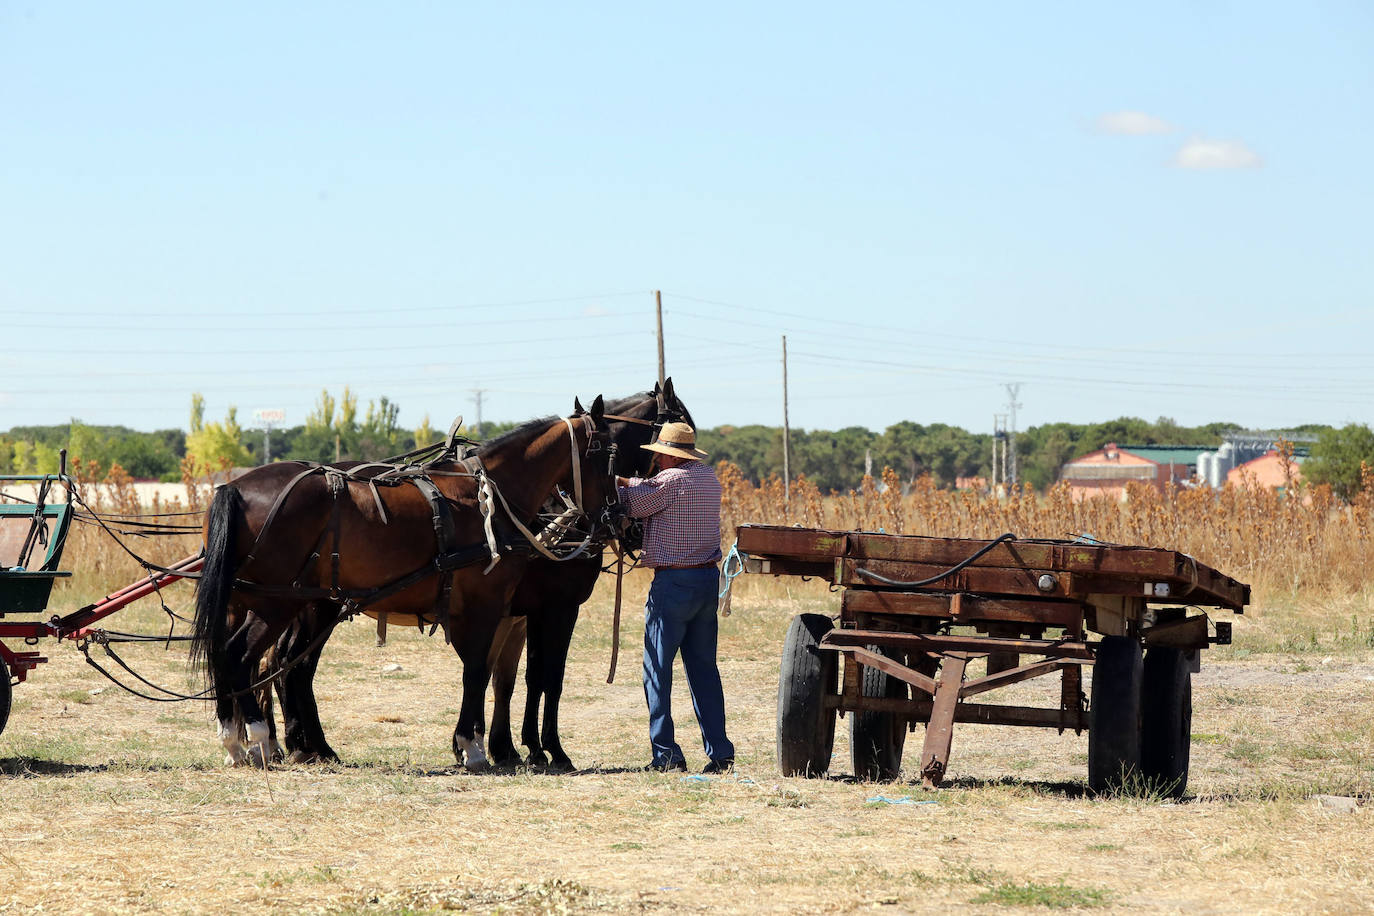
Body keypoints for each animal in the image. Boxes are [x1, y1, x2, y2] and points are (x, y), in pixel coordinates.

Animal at [190, 398, 615, 769]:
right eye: (606, 454)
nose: (610, 514)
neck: (489, 496)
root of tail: (234, 488)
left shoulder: (504, 612)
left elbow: (492, 674)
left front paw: (483, 746)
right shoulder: (497, 605)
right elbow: (483, 672)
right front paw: (475, 747)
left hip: (275, 602)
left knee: (250, 658)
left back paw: (243, 741)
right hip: (276, 604)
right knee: (243, 656)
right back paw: (260, 739)